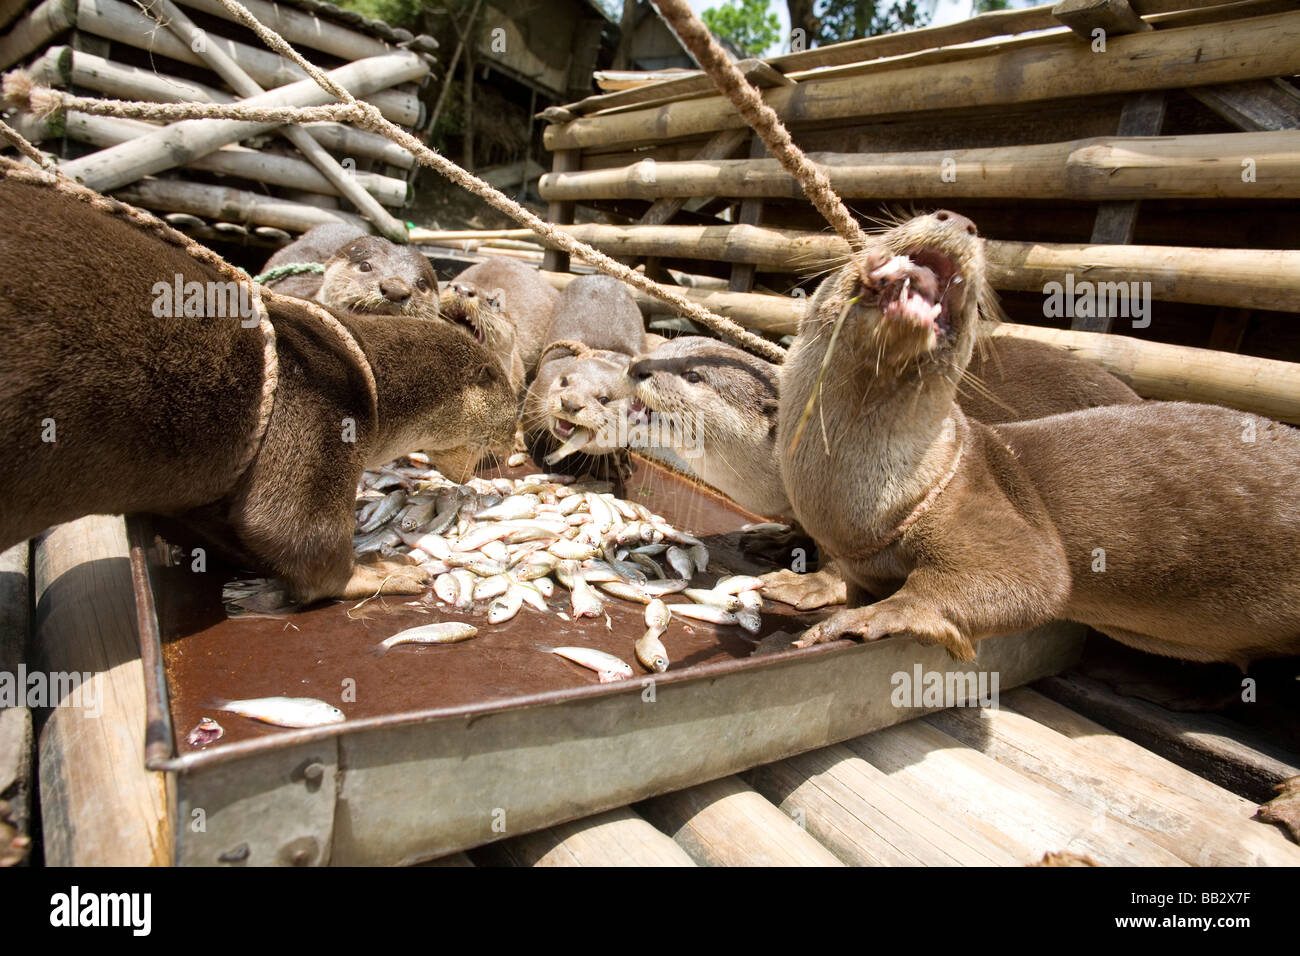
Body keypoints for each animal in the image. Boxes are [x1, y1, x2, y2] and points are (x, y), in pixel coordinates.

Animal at [774, 213, 1294, 671]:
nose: (959, 218)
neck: (865, 512)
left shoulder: (993, 511)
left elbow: (1032, 579)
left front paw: (867, 617)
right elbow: (842, 573)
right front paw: (807, 584)